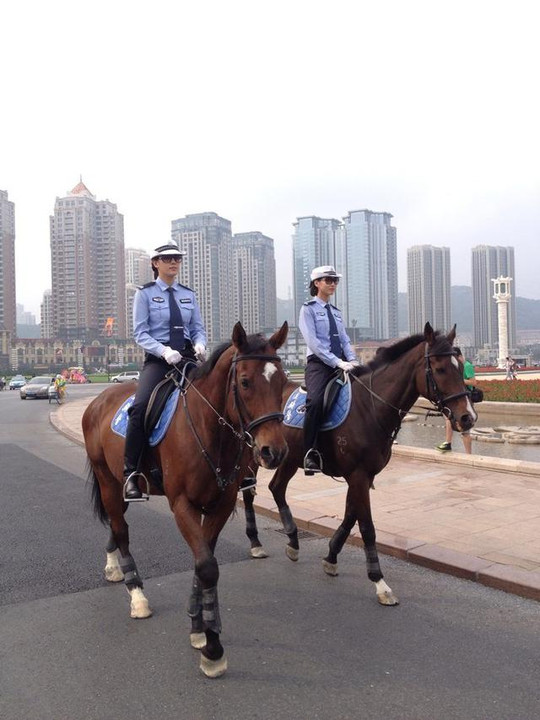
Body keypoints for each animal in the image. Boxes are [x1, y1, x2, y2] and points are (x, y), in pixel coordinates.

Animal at [82, 324, 288, 676]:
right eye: (245, 381)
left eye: (283, 379)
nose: (272, 451)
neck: (209, 429)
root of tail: (98, 400)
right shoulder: (181, 505)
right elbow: (207, 566)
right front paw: (213, 649)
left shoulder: (220, 504)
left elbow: (203, 562)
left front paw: (198, 627)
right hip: (108, 480)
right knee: (121, 531)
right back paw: (136, 595)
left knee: (114, 523)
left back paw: (113, 567)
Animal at [242, 324, 476, 604]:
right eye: (440, 369)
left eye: (461, 367)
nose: (468, 417)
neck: (370, 408)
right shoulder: (358, 474)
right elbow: (366, 526)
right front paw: (379, 581)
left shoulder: (364, 475)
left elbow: (350, 516)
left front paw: (331, 557)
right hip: (253, 456)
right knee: (249, 491)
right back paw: (255, 543)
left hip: (289, 458)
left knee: (276, 488)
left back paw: (292, 542)